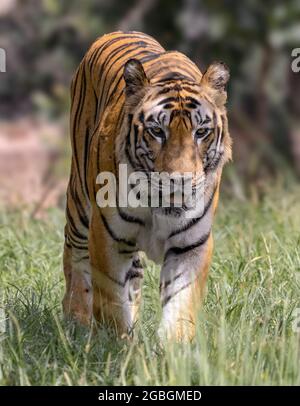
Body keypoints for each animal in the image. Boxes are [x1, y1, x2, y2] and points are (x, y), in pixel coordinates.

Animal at [63, 31, 232, 340]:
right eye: (157, 131)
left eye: (201, 132)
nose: (179, 180)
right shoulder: (108, 237)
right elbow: (112, 301)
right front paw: (119, 344)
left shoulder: (191, 244)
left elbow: (181, 302)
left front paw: (174, 347)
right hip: (79, 202)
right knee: (75, 256)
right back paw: (76, 318)